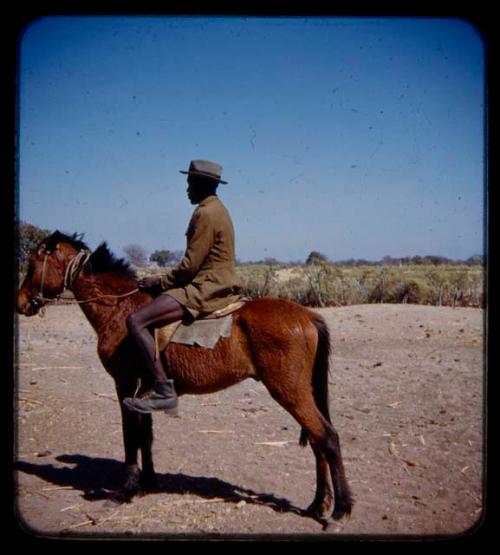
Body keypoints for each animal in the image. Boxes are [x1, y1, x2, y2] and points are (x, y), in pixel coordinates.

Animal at [15, 231, 352, 524]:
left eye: (32, 263)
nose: (20, 303)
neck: (118, 306)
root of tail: (308, 316)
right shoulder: (145, 391)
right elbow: (145, 436)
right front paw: (148, 481)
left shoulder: (124, 384)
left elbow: (129, 437)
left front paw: (126, 490)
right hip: (300, 392)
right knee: (318, 441)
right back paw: (318, 505)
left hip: (290, 391)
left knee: (327, 437)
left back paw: (340, 509)